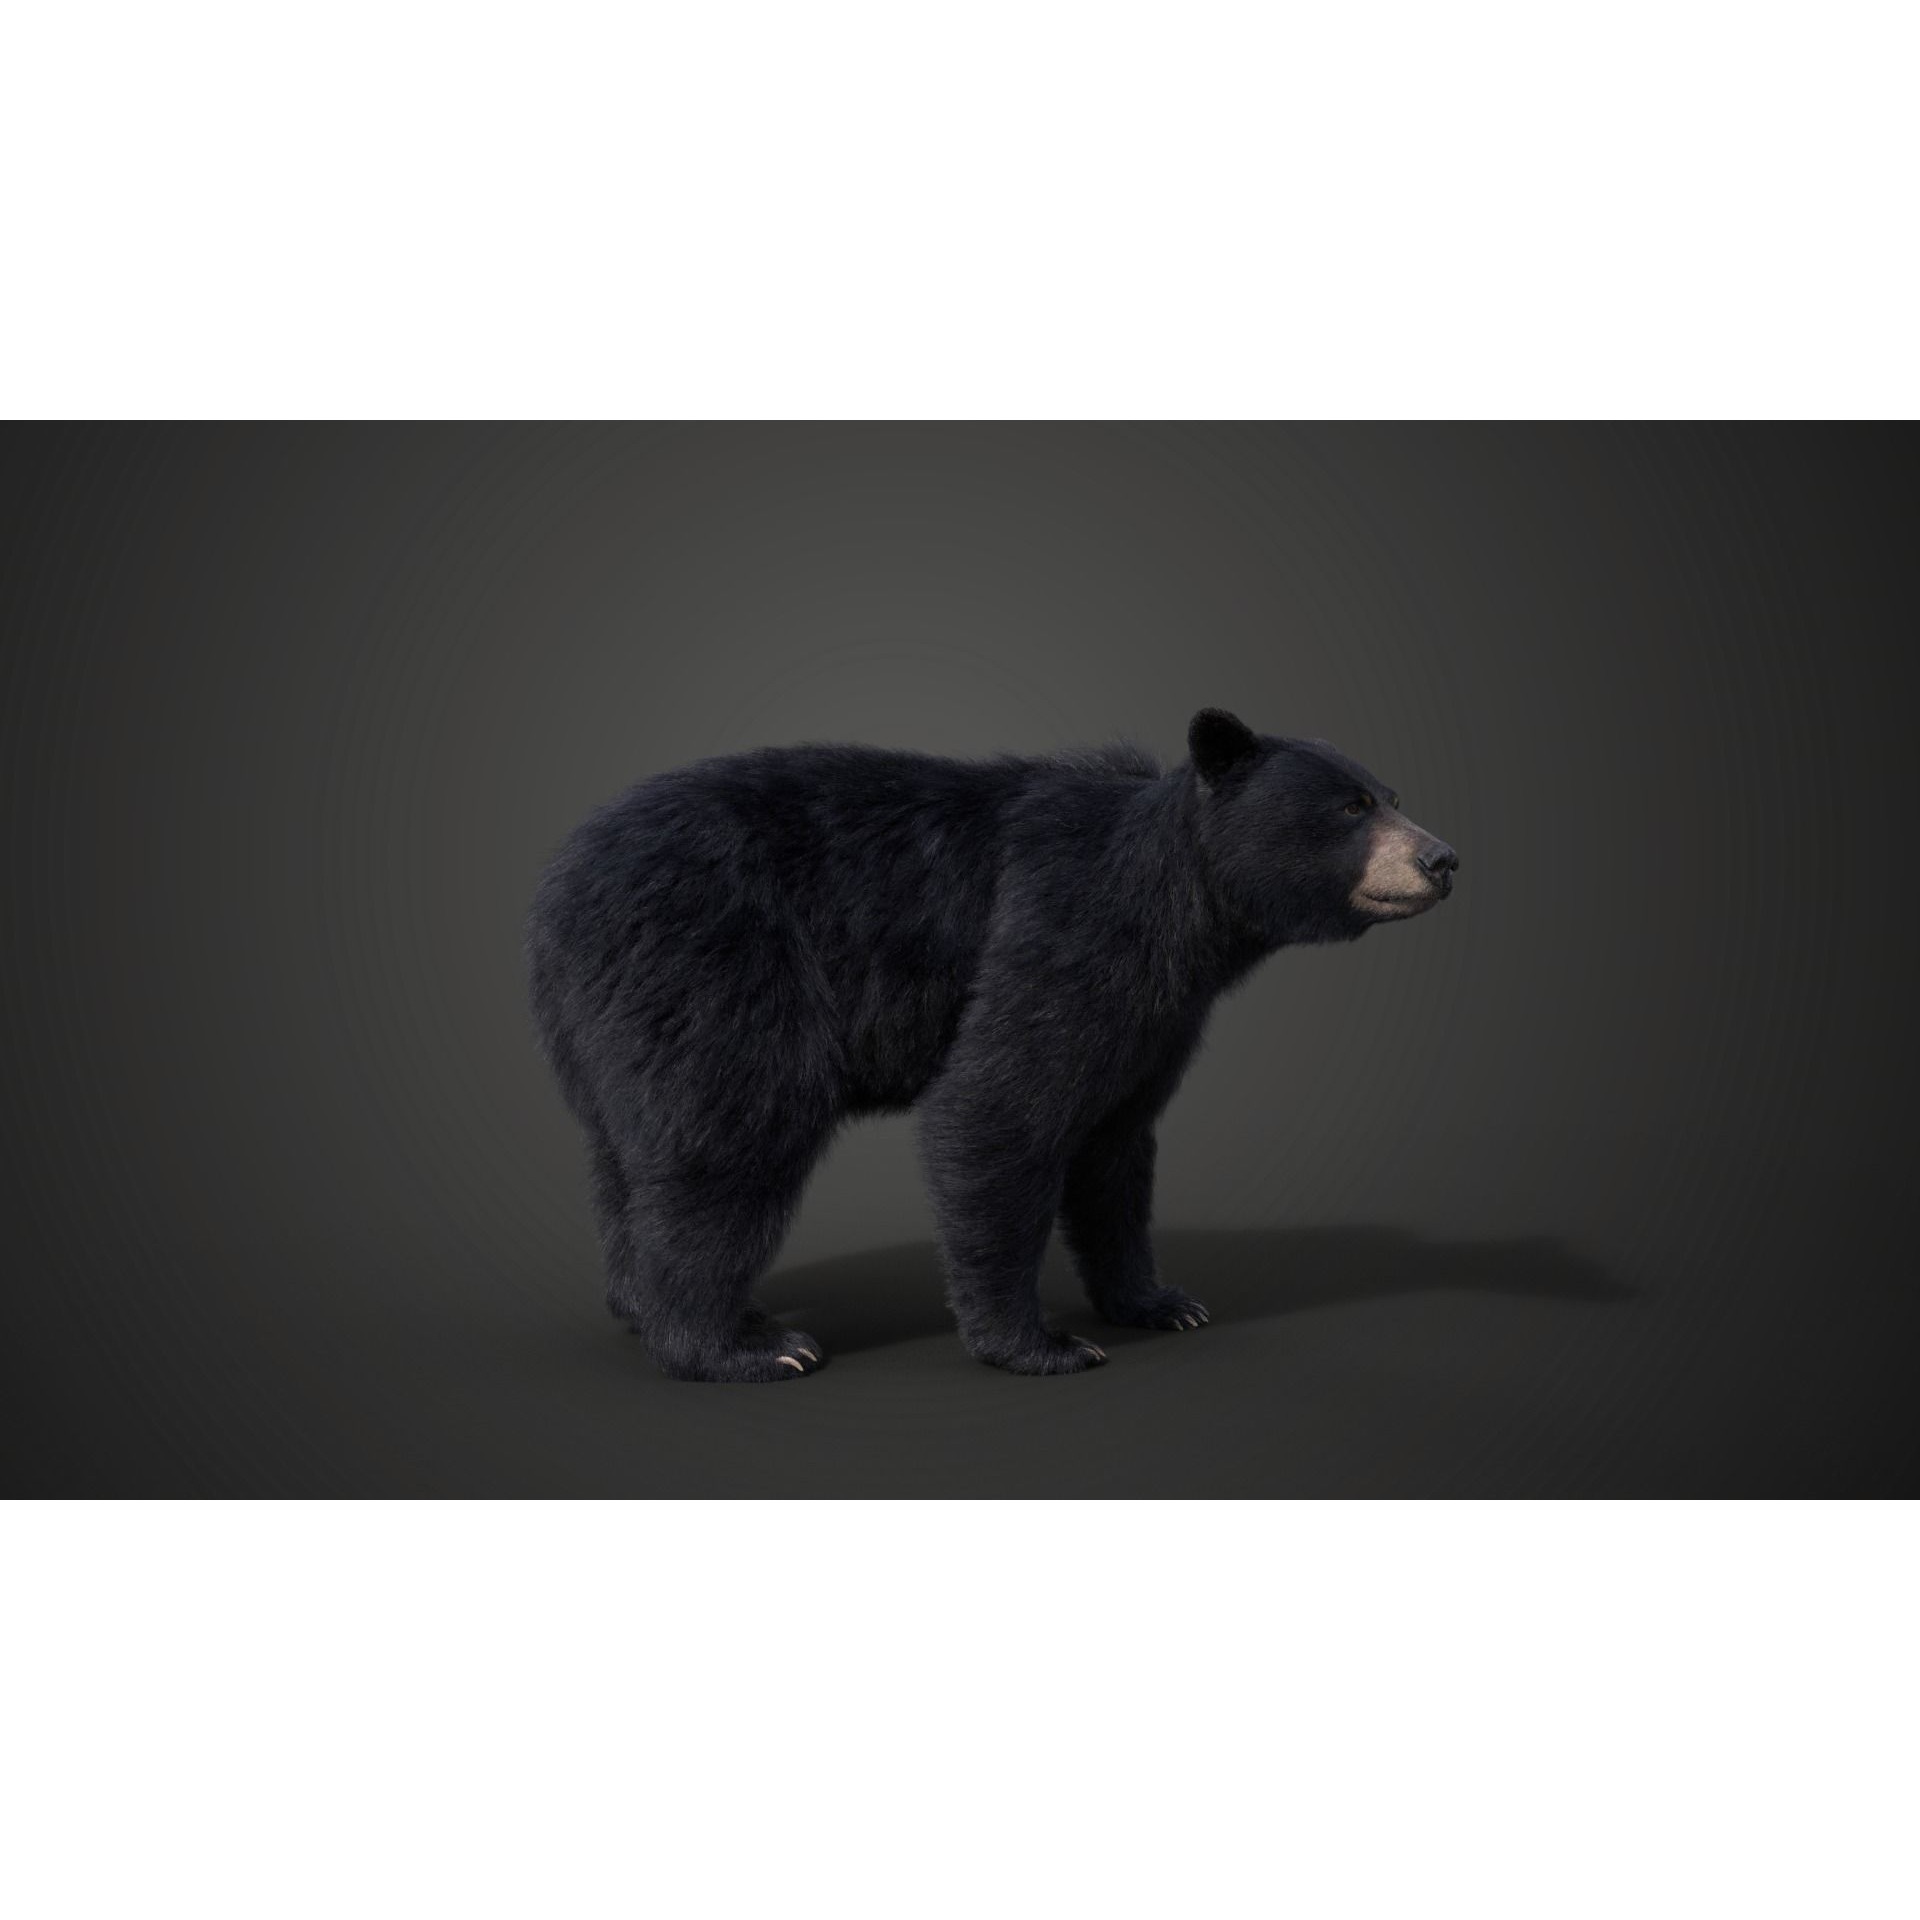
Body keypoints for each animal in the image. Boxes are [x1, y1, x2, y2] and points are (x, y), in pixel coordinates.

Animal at [526, 708, 1458, 1382]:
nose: (1443, 858)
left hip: (610, 1022)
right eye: (1350, 807)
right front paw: (1041, 1344)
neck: (1182, 913)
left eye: (1392, 792)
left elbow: (1115, 1146)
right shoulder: (1061, 931)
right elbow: (996, 1110)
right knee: (733, 1130)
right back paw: (739, 1346)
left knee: (627, 1156)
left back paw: (651, 1306)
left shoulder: (1157, 1015)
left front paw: (1158, 1300)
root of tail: (559, 882)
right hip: (715, 957)